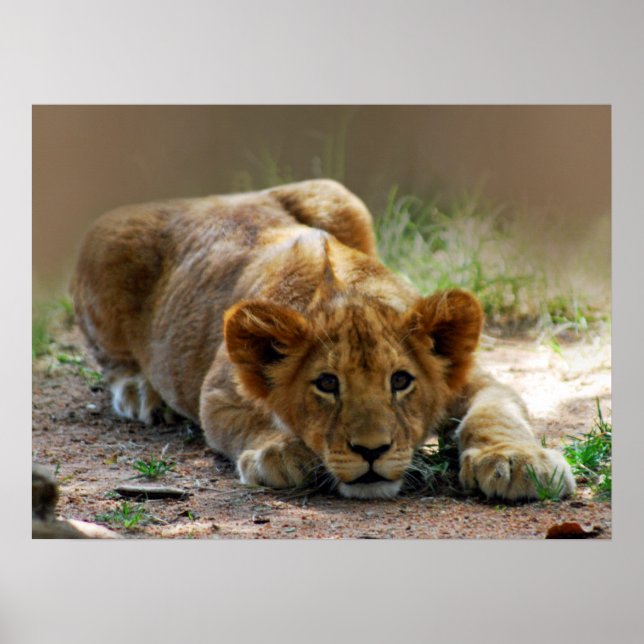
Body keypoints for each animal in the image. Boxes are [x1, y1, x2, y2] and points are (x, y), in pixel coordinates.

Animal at [71, 179, 575, 500]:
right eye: (327, 384)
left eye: (401, 381)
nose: (371, 451)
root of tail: (208, 197)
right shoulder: (216, 393)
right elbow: (251, 418)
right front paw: (281, 452)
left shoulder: (474, 379)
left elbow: (495, 414)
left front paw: (518, 462)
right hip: (107, 236)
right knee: (112, 359)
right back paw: (141, 392)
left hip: (339, 196)